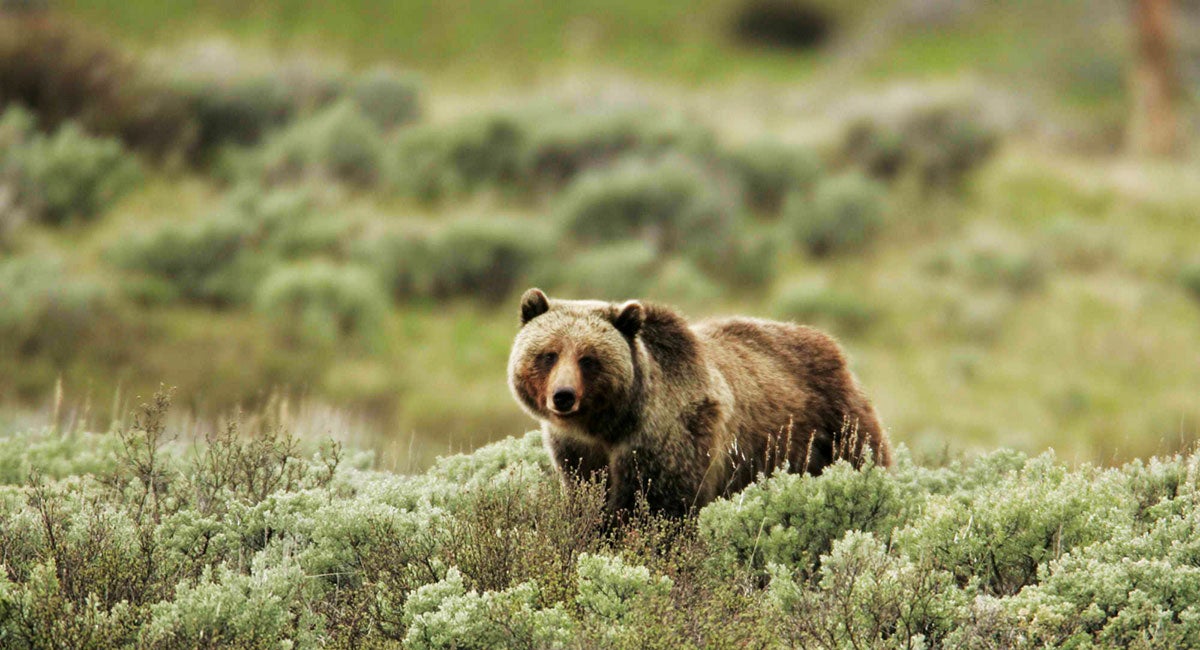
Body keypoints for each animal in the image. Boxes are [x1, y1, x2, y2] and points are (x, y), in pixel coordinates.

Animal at [506, 290, 892, 520]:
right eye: (549, 354)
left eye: (589, 359)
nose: (563, 396)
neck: (609, 425)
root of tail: (833, 346)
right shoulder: (577, 451)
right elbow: (588, 495)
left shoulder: (669, 436)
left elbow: (659, 505)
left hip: (833, 427)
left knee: (862, 456)